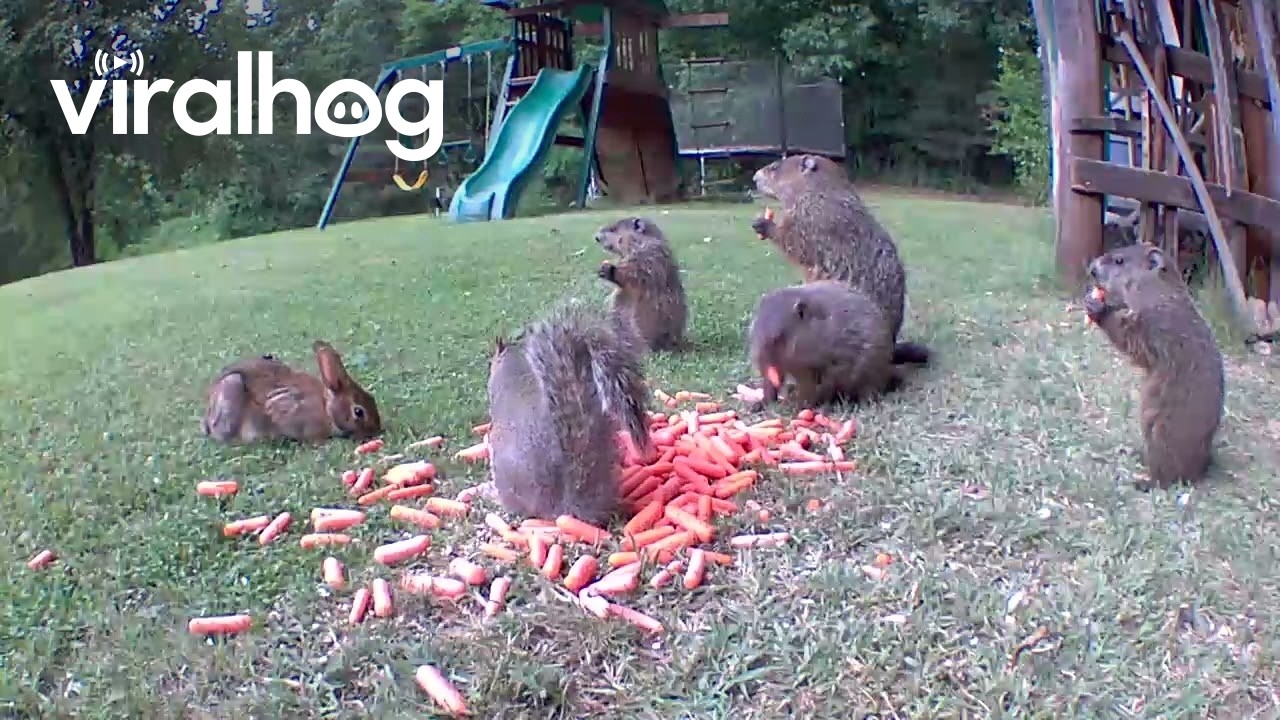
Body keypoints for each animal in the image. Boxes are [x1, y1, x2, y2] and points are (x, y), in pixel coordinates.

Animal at [594, 216, 690, 353]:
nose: (596, 237)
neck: (640, 244)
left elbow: (637, 273)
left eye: (614, 228)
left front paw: (608, 268)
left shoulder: (650, 256)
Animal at [748, 280, 899, 408]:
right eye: (753, 331)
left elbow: (813, 385)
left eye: (779, 337)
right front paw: (762, 402)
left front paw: (797, 404)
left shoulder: (822, 363)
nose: (759, 359)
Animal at [751, 154, 931, 366]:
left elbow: (795, 239)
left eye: (775, 167)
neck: (818, 191)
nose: (753, 178)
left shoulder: (814, 217)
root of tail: (892, 350)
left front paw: (764, 223)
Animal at [1083, 242, 1225, 490]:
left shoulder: (1156, 323)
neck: (1161, 294)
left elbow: (1134, 340)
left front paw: (1099, 308)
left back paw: (1145, 481)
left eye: (1119, 260)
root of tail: (1200, 470)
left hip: (1160, 431)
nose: (1091, 269)